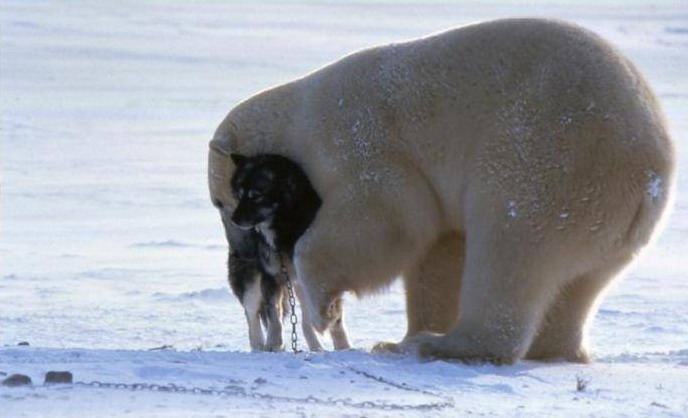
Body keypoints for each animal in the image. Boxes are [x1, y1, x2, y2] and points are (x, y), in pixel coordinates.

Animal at [222, 152, 350, 352]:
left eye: (255, 196)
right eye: (239, 195)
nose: (233, 219)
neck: (285, 229)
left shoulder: (322, 275)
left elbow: (333, 318)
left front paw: (344, 348)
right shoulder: (271, 276)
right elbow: (273, 312)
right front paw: (274, 342)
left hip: (299, 284)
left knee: (305, 319)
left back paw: (316, 347)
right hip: (249, 278)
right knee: (251, 314)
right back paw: (259, 346)